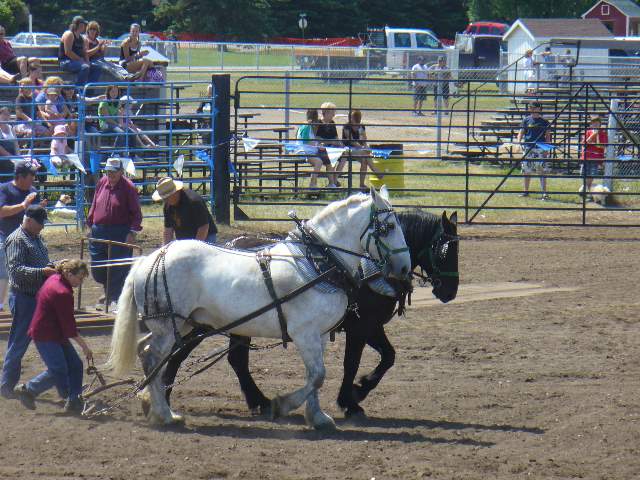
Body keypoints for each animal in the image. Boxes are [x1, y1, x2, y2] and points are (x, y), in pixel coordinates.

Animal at [106, 187, 410, 428]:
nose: (405, 268)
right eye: (388, 228)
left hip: (180, 323)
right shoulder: (305, 333)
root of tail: (149, 258)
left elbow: (316, 376)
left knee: (149, 352)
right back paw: (165, 413)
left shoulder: (320, 334)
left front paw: (318, 417)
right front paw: (283, 404)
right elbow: (318, 376)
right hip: (171, 325)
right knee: (154, 357)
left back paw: (153, 404)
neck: (317, 261)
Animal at [161, 209, 460, 416]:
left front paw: (360, 389)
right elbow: (353, 363)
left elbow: (389, 356)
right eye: (446, 248)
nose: (451, 291)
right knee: (182, 353)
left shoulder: (371, 326)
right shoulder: (360, 327)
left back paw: (257, 401)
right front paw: (351, 399)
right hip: (203, 323)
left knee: (234, 359)